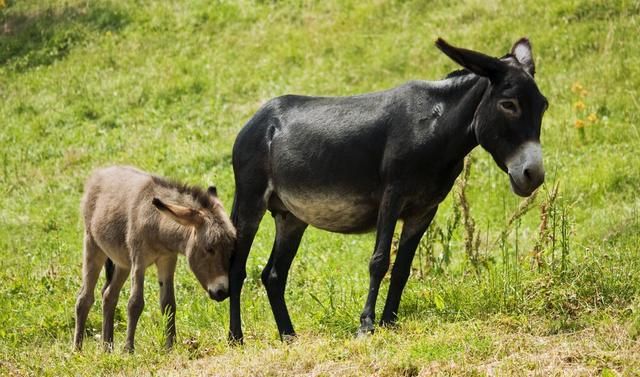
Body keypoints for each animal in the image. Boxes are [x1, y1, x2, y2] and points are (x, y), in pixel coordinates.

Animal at [74, 166, 236, 352]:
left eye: (231, 249)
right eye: (209, 249)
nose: (223, 293)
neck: (157, 224)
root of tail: (102, 170)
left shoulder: (167, 260)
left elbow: (168, 303)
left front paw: (170, 346)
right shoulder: (139, 260)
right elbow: (135, 303)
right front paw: (129, 350)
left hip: (122, 263)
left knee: (109, 295)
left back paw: (107, 348)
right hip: (93, 246)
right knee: (84, 299)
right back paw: (77, 350)